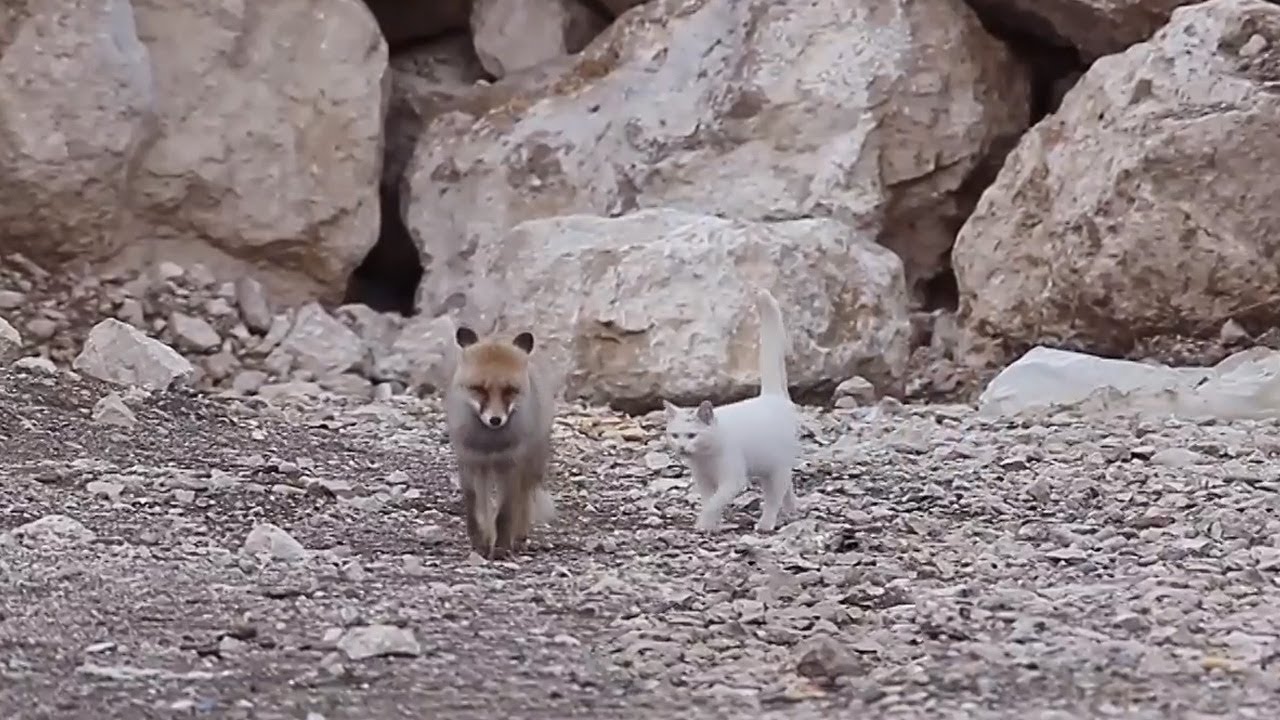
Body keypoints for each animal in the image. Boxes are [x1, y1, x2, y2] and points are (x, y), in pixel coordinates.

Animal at [444, 325, 557, 559]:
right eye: (479, 389)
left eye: (510, 390)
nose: (495, 420)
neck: (490, 445)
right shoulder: (471, 463)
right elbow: (477, 511)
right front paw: (481, 543)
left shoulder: (510, 464)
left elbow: (504, 513)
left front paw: (502, 547)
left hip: (531, 466)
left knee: (524, 502)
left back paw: (519, 538)